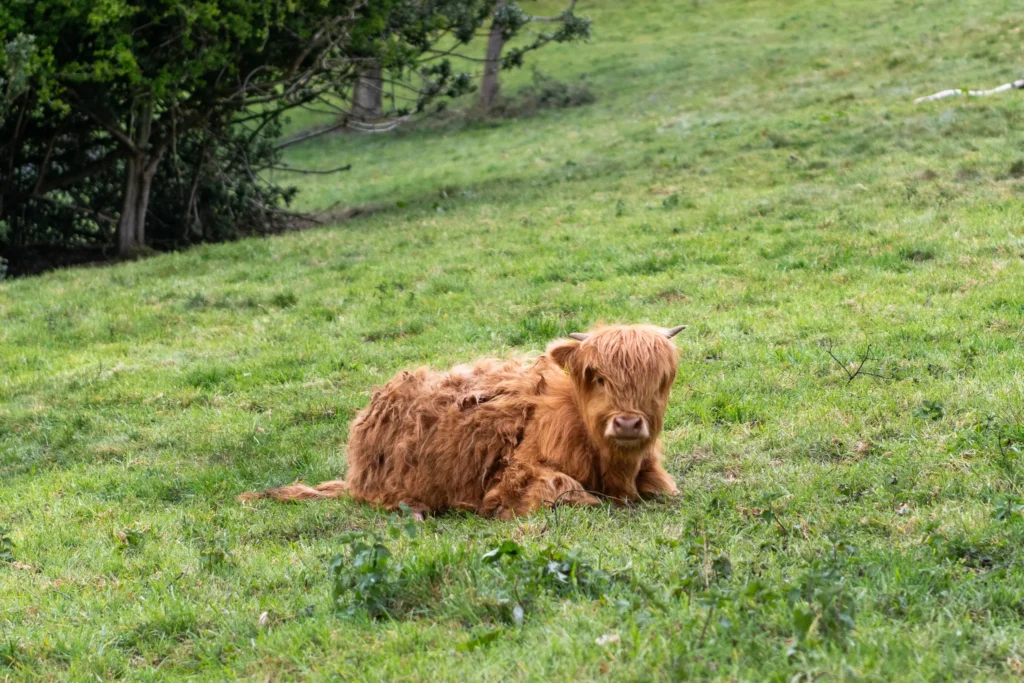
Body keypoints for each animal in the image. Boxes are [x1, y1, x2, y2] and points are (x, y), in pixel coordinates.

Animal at [240, 324, 686, 518]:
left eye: (660, 379)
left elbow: (665, 490)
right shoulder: (518, 477)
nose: (627, 424)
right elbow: (570, 493)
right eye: (597, 377)